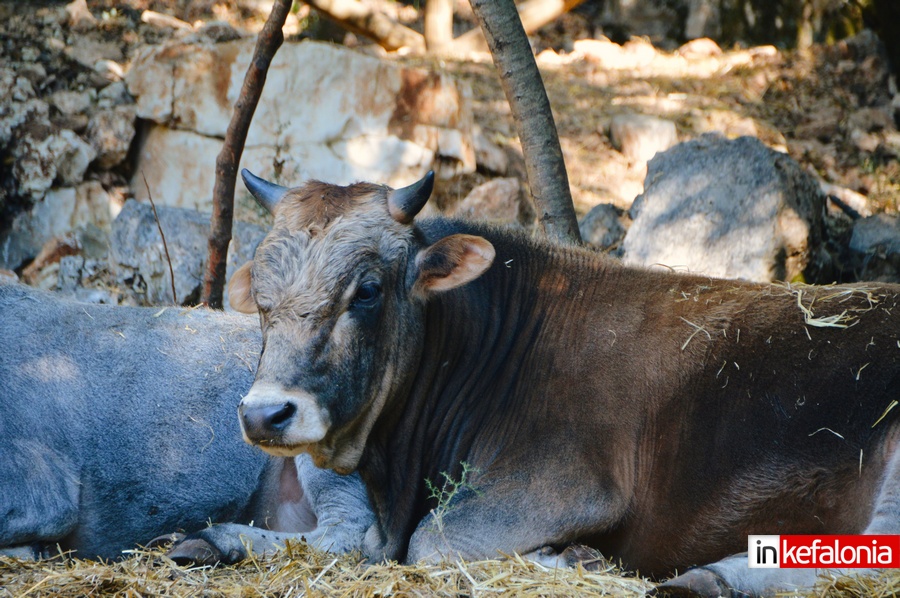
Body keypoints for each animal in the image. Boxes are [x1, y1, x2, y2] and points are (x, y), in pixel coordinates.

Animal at [220, 170, 900, 598]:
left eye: (366, 290)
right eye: (262, 299)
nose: (264, 414)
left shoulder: (564, 485)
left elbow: (431, 544)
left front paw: (575, 556)